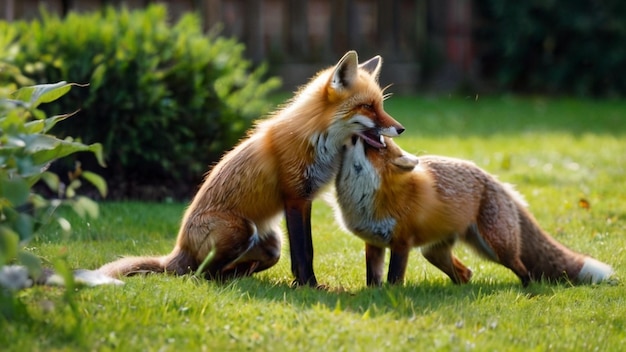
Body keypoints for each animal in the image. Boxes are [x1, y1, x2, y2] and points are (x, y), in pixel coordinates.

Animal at [95, 50, 402, 286]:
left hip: (273, 244)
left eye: (381, 105)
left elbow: (306, 250)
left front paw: (301, 284)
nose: (401, 129)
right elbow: (305, 252)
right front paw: (309, 286)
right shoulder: (295, 196)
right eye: (368, 107)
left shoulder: (305, 199)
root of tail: (178, 249)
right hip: (240, 229)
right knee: (197, 274)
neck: (317, 140)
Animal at [334, 136, 612, 288]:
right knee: (466, 274)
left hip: (496, 247)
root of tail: (497, 181)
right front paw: (373, 295)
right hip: (435, 253)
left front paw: (391, 294)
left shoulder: (401, 243)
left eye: (378, 145)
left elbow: (393, 278)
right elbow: (373, 278)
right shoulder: (373, 242)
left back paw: (528, 289)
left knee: (523, 268)